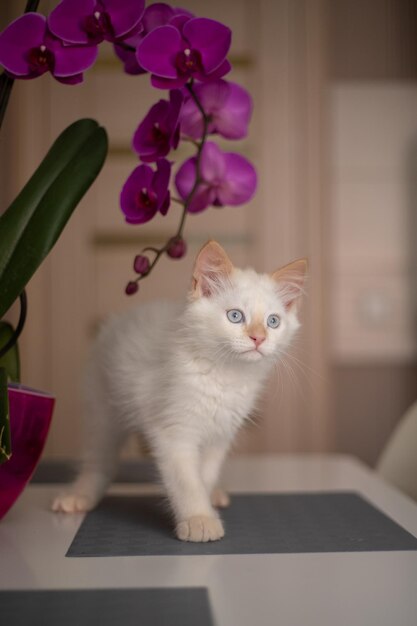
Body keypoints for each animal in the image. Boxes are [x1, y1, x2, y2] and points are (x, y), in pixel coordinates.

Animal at [52, 240, 306, 540]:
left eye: (273, 322)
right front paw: (199, 519)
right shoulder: (172, 430)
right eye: (235, 316)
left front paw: (205, 503)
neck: (225, 375)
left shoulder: (220, 433)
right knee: (99, 460)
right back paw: (79, 495)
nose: (259, 338)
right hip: (102, 406)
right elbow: (186, 480)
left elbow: (203, 475)